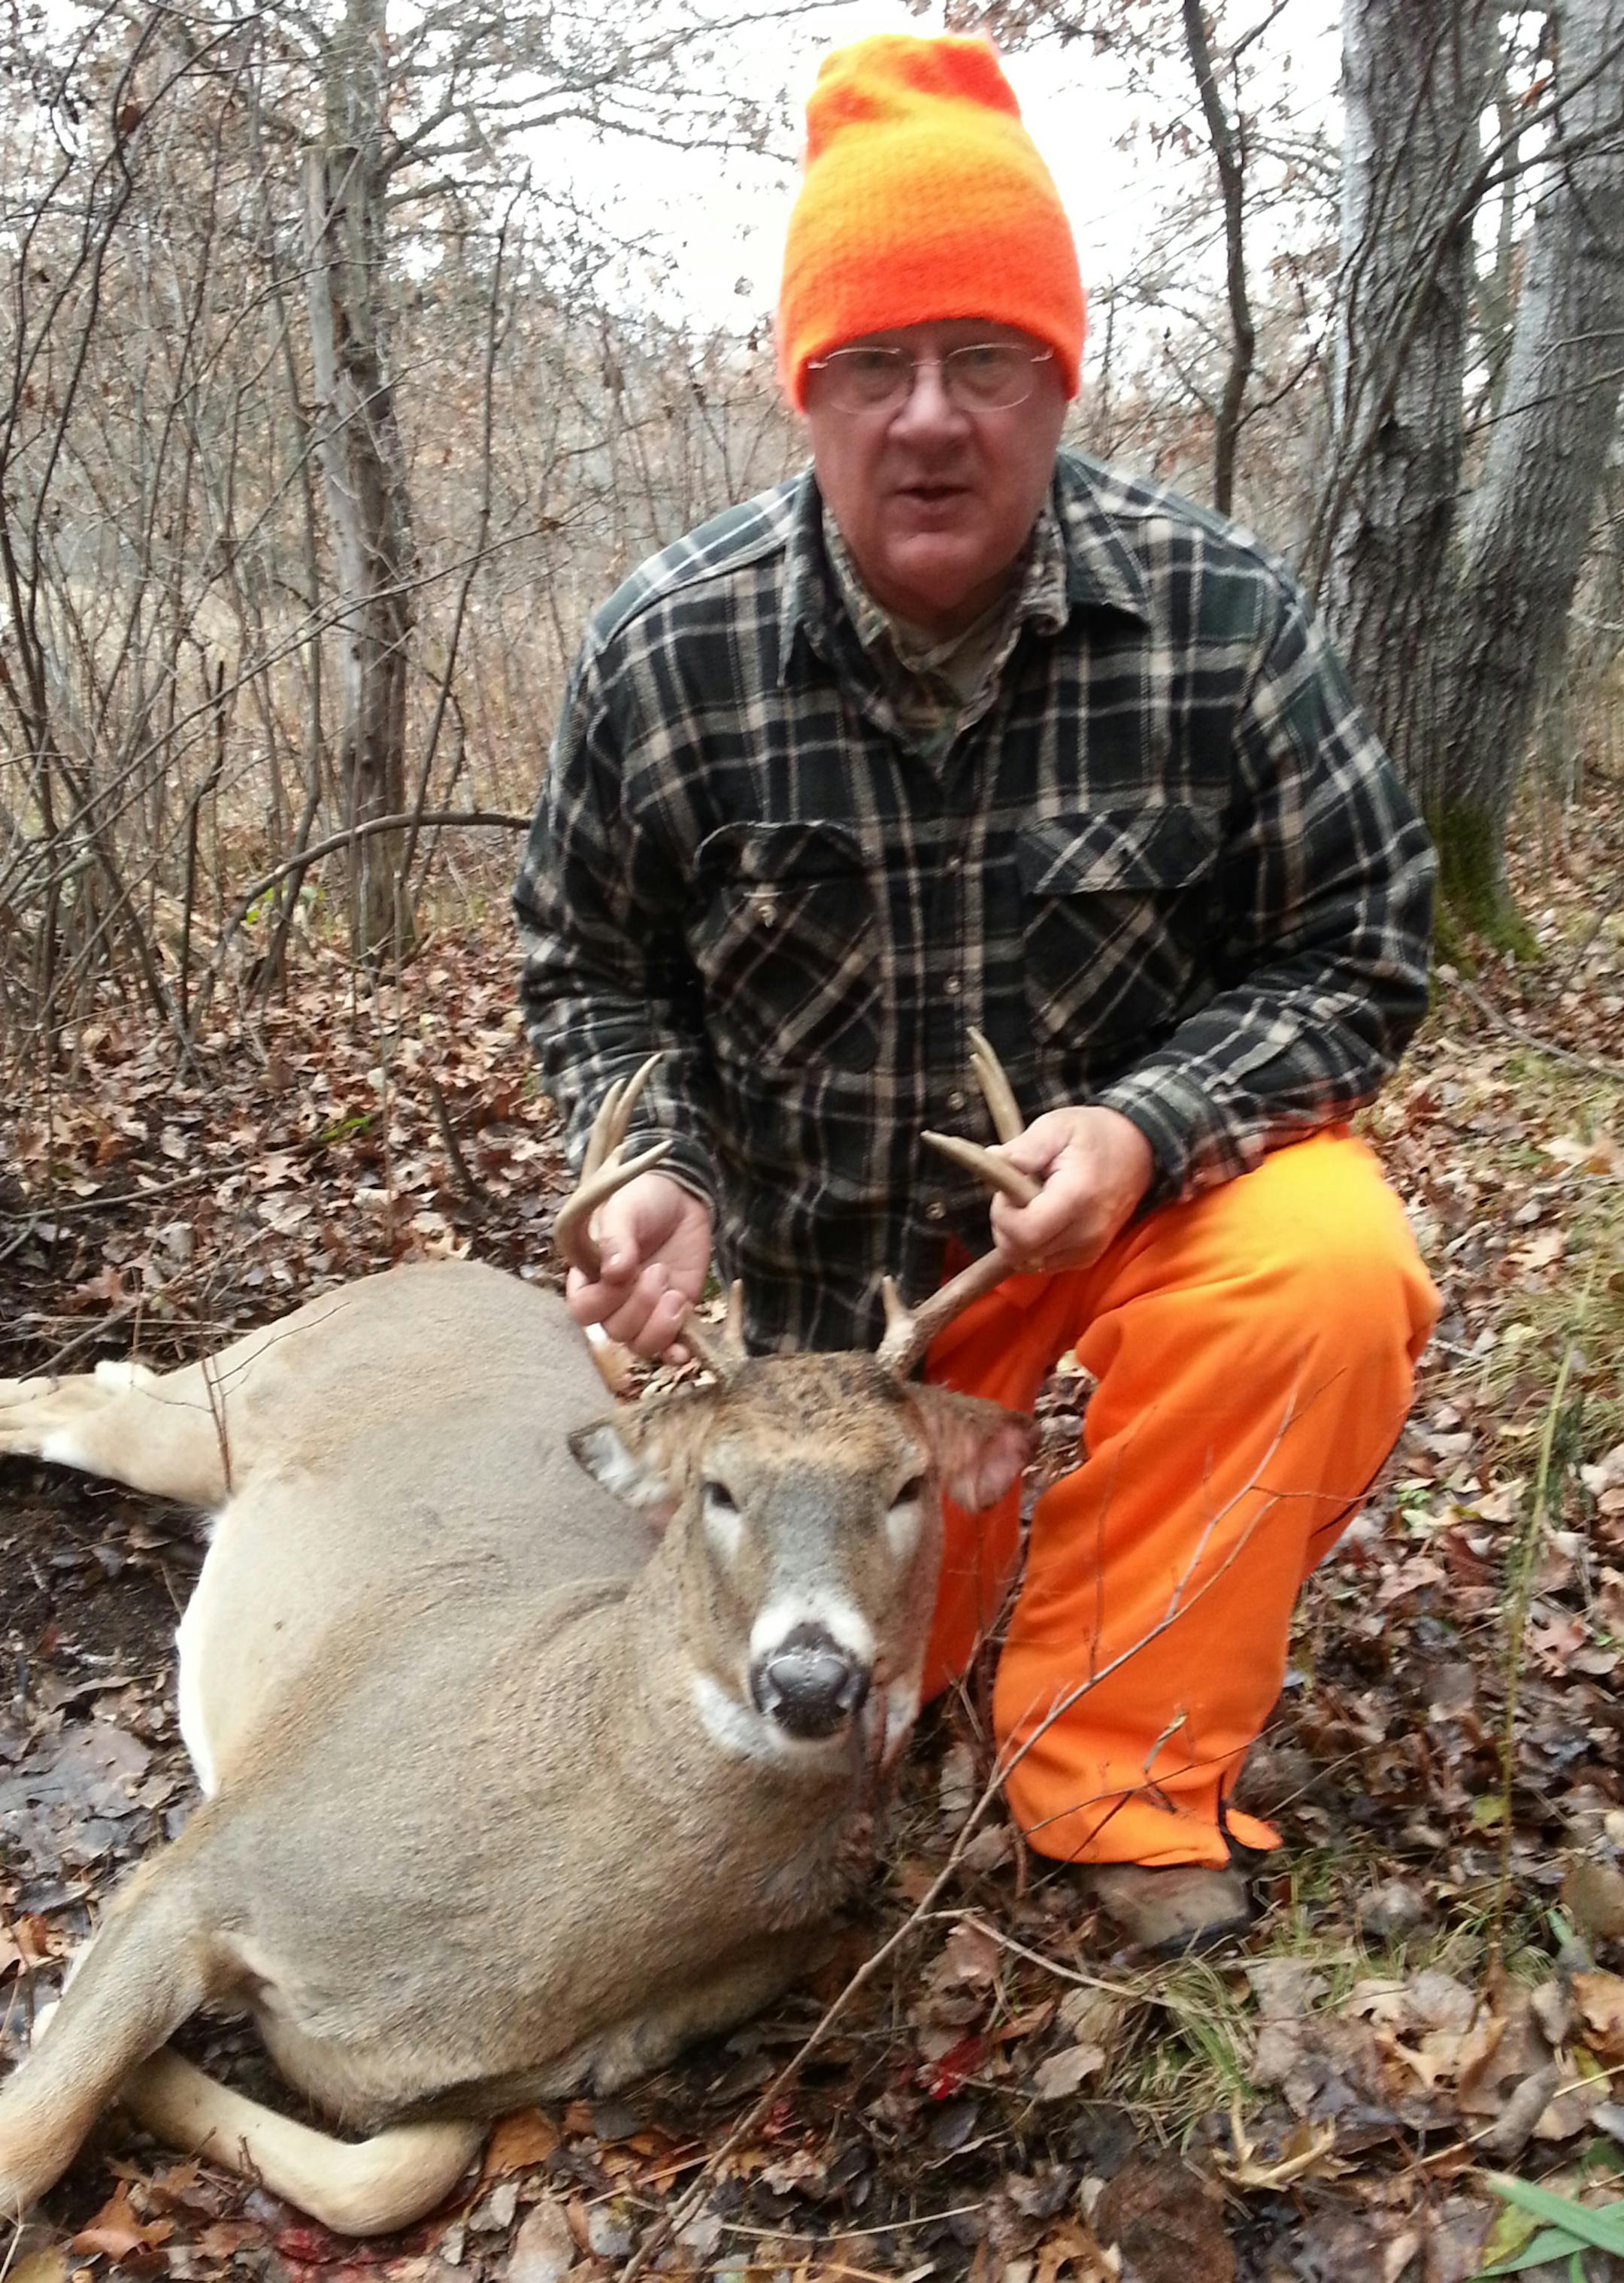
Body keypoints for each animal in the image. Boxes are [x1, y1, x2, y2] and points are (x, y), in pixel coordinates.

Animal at [0, 1042, 1038, 2238]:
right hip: (231, 1401)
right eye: (718, 1486)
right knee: (60, 1401)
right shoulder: (217, 1852)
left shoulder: (465, 2083)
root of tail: (459, 1272)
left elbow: (387, 2178)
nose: (811, 1678)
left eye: (908, 1484)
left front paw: (105, 2050)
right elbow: (27, 2142)